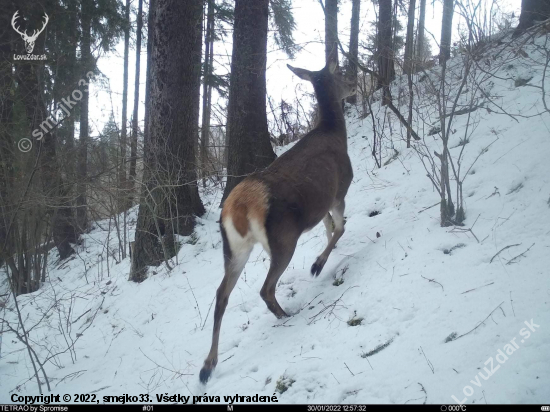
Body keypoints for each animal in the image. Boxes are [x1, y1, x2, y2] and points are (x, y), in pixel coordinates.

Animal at [201, 45, 356, 384]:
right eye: (340, 73)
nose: (353, 87)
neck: (335, 133)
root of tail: (238, 207)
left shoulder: (320, 205)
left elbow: (330, 228)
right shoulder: (339, 190)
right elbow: (339, 229)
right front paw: (317, 265)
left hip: (235, 249)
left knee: (221, 295)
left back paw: (208, 365)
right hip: (283, 238)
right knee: (266, 287)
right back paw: (286, 315)